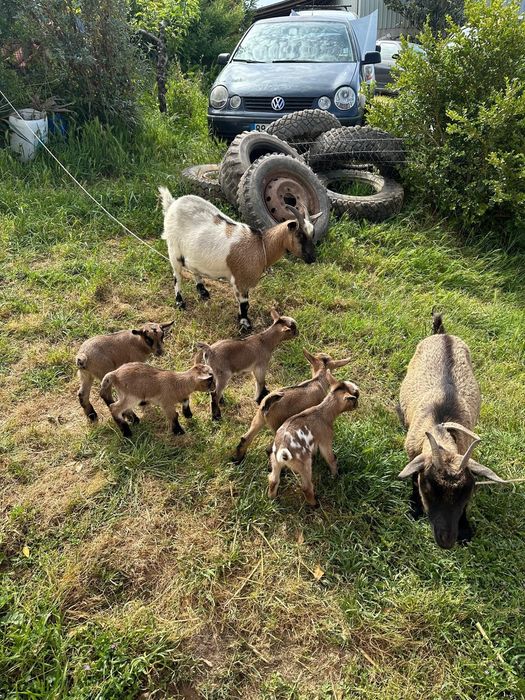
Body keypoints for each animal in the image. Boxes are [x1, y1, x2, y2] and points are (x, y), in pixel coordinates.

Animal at [159, 188, 321, 330]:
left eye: (313, 234)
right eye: (300, 235)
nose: (312, 258)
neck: (262, 246)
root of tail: (173, 204)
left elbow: (243, 303)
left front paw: (241, 320)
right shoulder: (240, 280)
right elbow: (244, 304)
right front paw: (245, 324)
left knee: (194, 269)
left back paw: (203, 292)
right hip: (173, 250)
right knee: (177, 277)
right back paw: (180, 302)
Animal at [269, 373, 359, 506]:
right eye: (355, 395)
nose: (357, 404)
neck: (323, 413)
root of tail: (281, 449)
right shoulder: (325, 440)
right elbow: (331, 459)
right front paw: (335, 476)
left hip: (275, 461)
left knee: (273, 479)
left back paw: (273, 499)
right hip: (304, 463)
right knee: (306, 487)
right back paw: (314, 504)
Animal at [398, 312, 503, 549]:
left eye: (468, 493)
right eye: (428, 488)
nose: (446, 541)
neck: (440, 423)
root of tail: (443, 334)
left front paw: (465, 529)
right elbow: (412, 478)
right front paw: (415, 508)